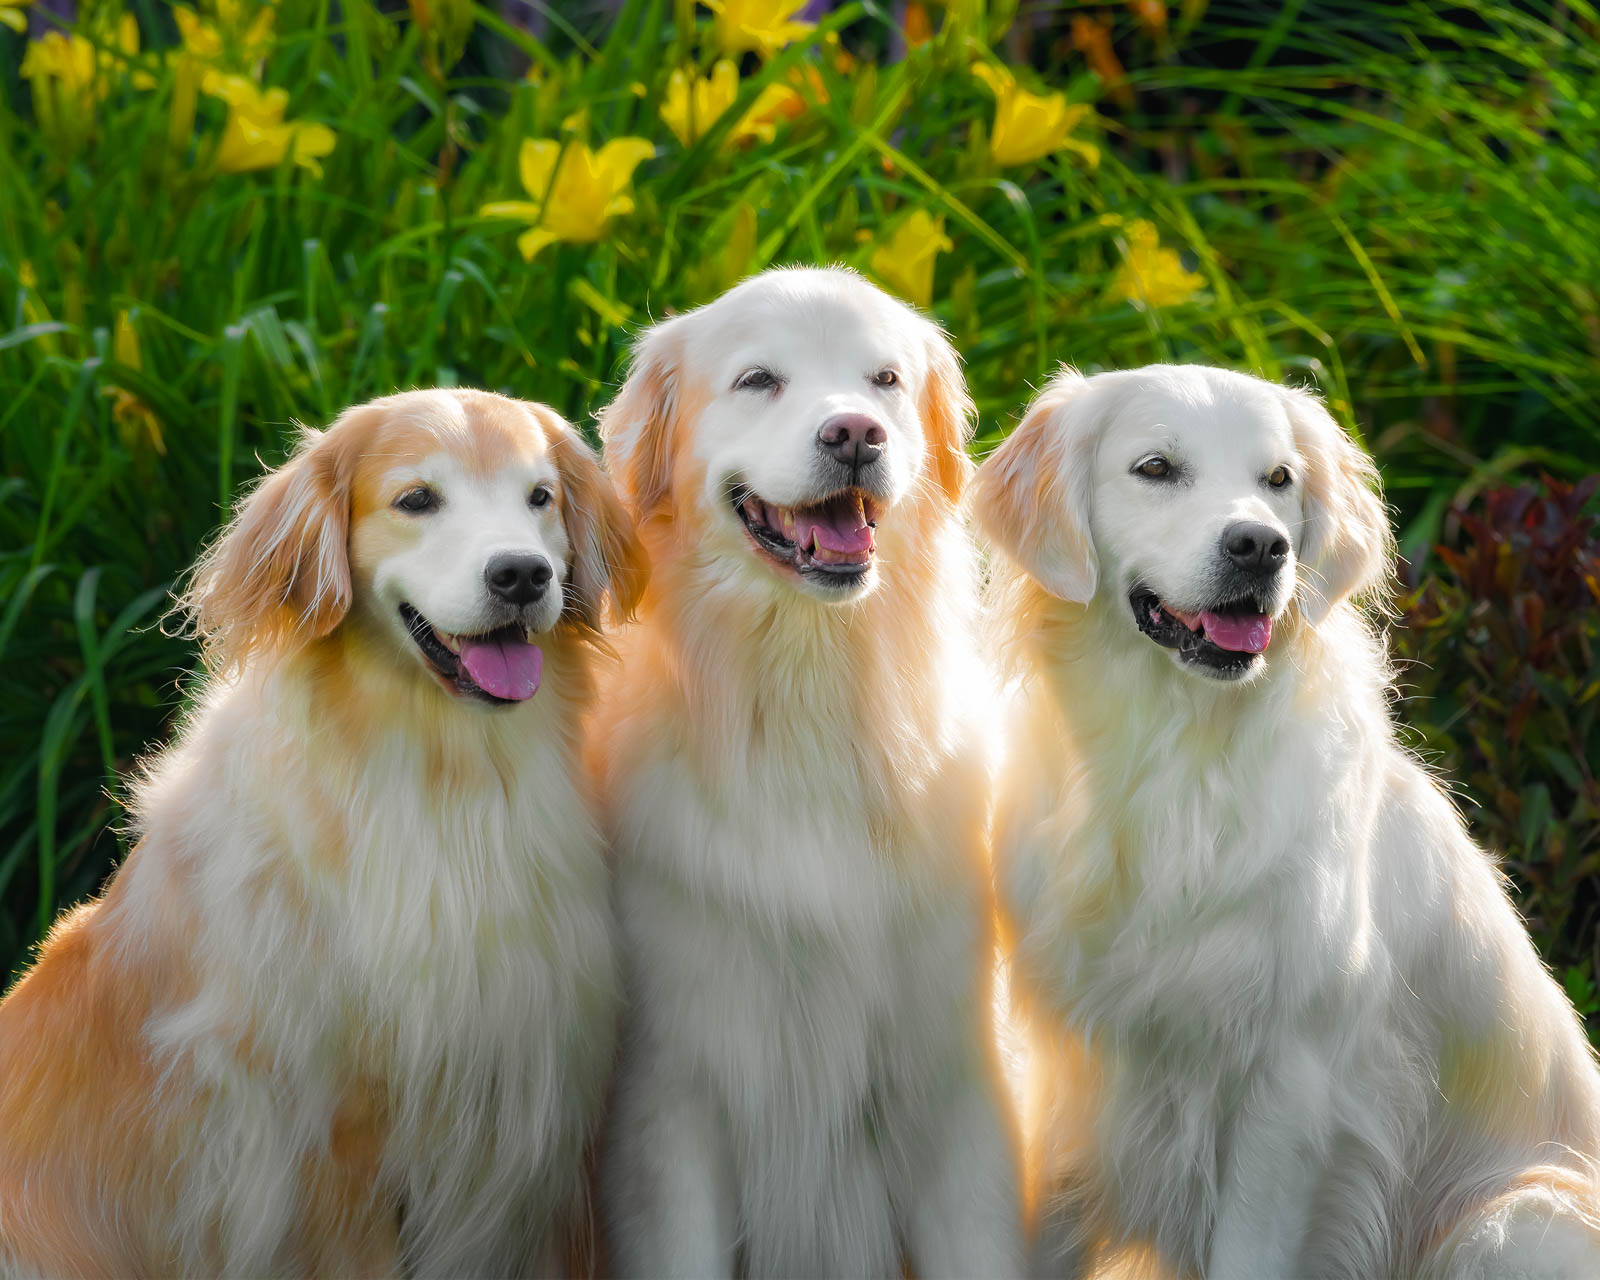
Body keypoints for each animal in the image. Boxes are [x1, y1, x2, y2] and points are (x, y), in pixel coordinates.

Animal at [3, 390, 649, 1280]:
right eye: (417, 500)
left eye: (540, 498)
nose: (522, 574)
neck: (448, 776)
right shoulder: (326, 1140)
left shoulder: (543, 1123)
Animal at [592, 265, 1024, 1273]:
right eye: (760, 381)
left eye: (885, 381)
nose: (855, 435)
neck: (807, 691)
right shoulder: (673, 1107)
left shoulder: (954, 1090)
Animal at [966, 363, 1600, 1280]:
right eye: (1155, 468)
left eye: (1279, 479)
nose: (1262, 547)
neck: (1177, 763)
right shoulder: (1069, 1077)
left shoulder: (1289, 1089)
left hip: (1512, 1222)